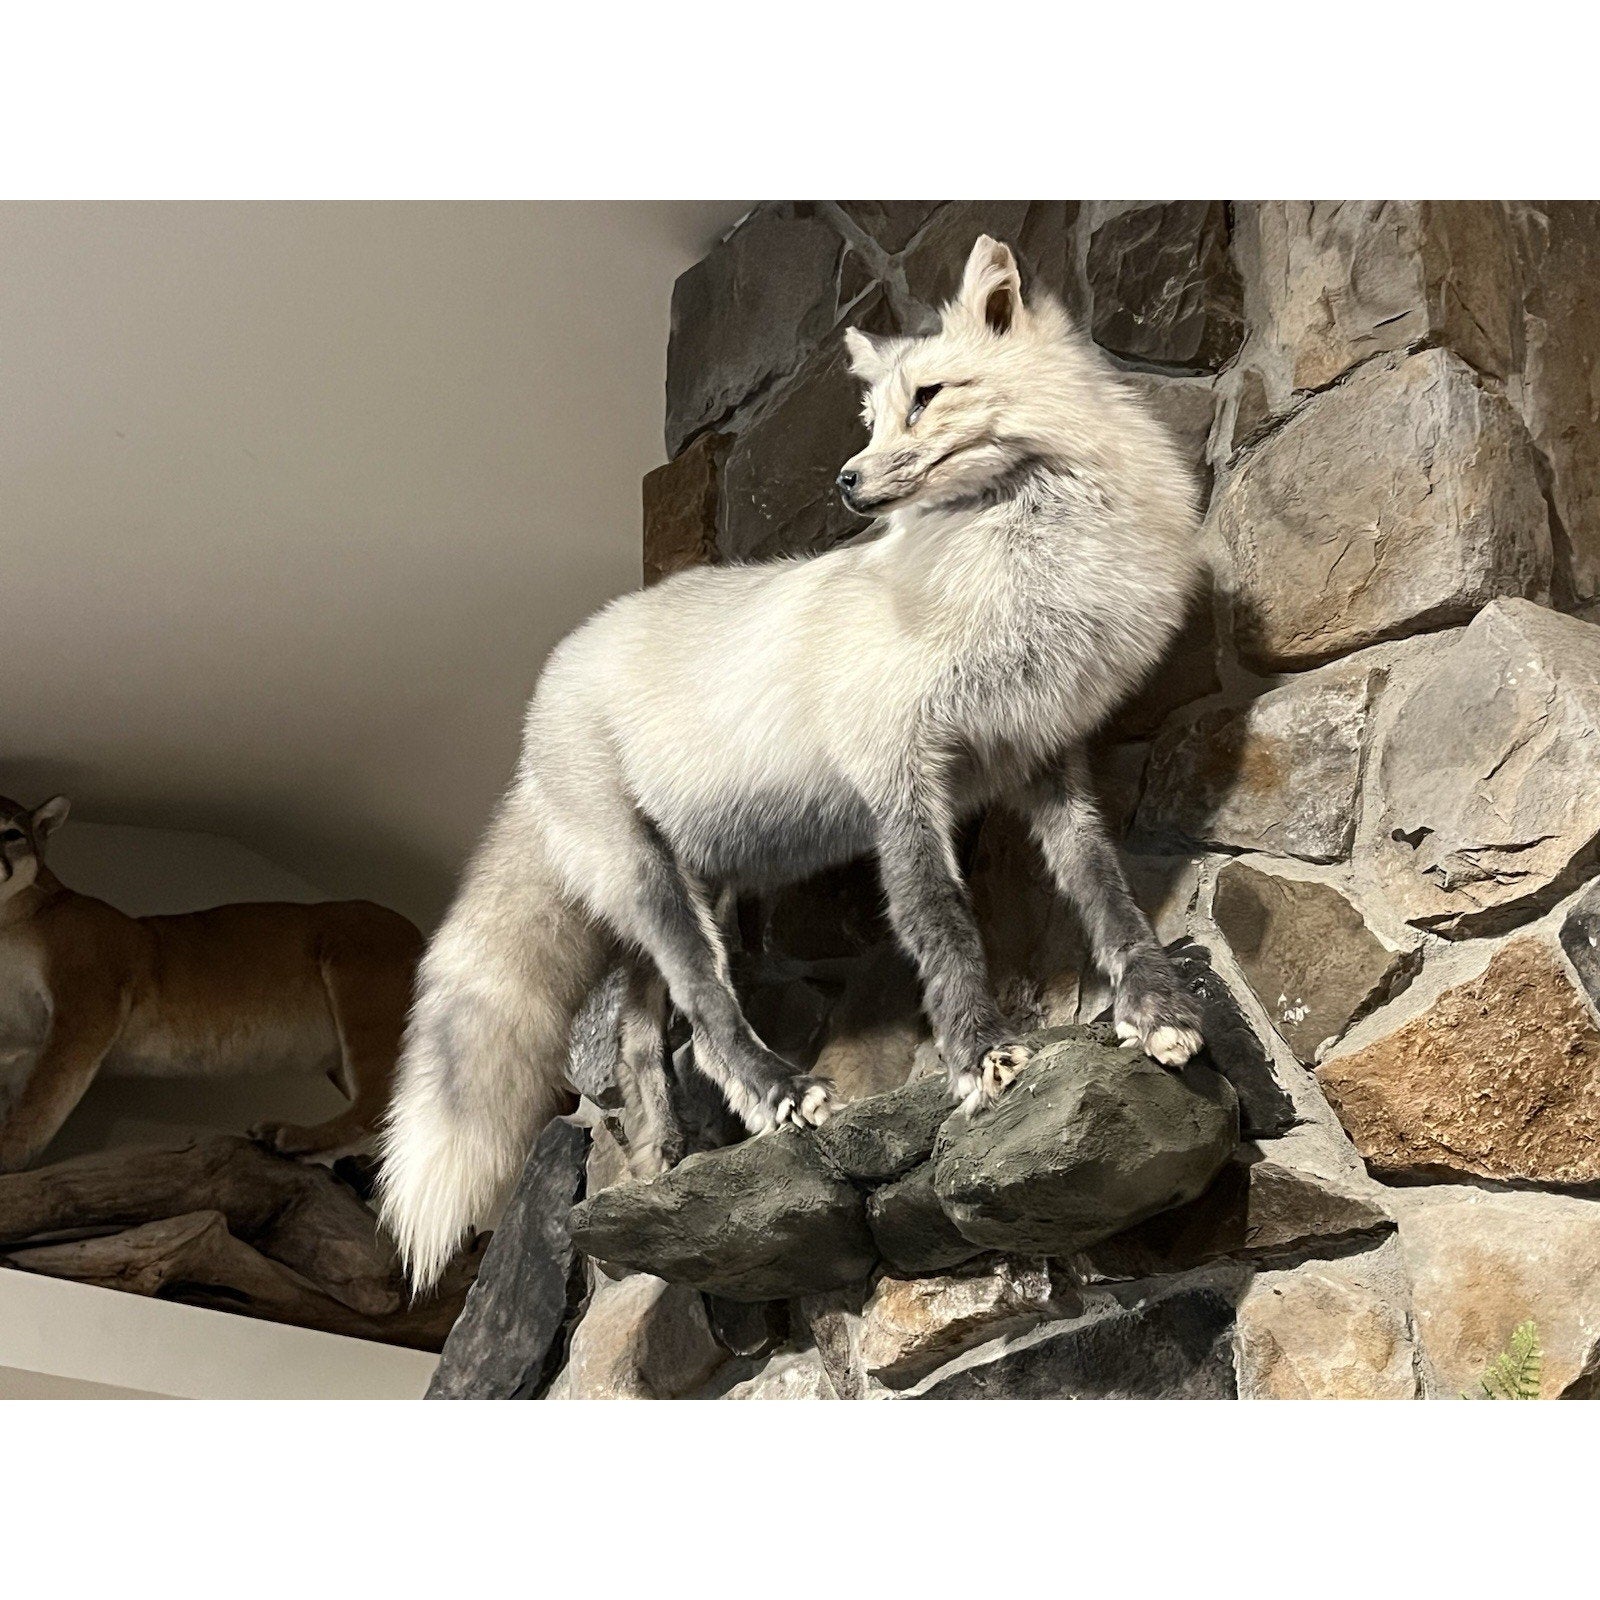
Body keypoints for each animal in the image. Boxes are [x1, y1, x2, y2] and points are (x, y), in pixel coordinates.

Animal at [0, 793, 423, 1169]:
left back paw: (293, 1136)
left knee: (380, 1106)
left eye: (11, 833)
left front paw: (10, 1156)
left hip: (362, 986)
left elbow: (44, 1093)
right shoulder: (25, 1041)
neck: (10, 921)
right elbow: (22, 1089)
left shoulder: (87, 1000)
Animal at [378, 234, 1208, 1291]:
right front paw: (979, 1055)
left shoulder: (1045, 756)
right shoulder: (899, 778)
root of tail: (537, 714)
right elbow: (944, 927)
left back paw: (661, 1156)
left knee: (649, 1039)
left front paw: (1153, 1007)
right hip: (655, 887)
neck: (1018, 581)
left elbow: (1108, 895)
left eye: (927, 397)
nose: (847, 480)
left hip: (696, 889)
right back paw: (775, 1094)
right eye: (870, 417)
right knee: (706, 1014)